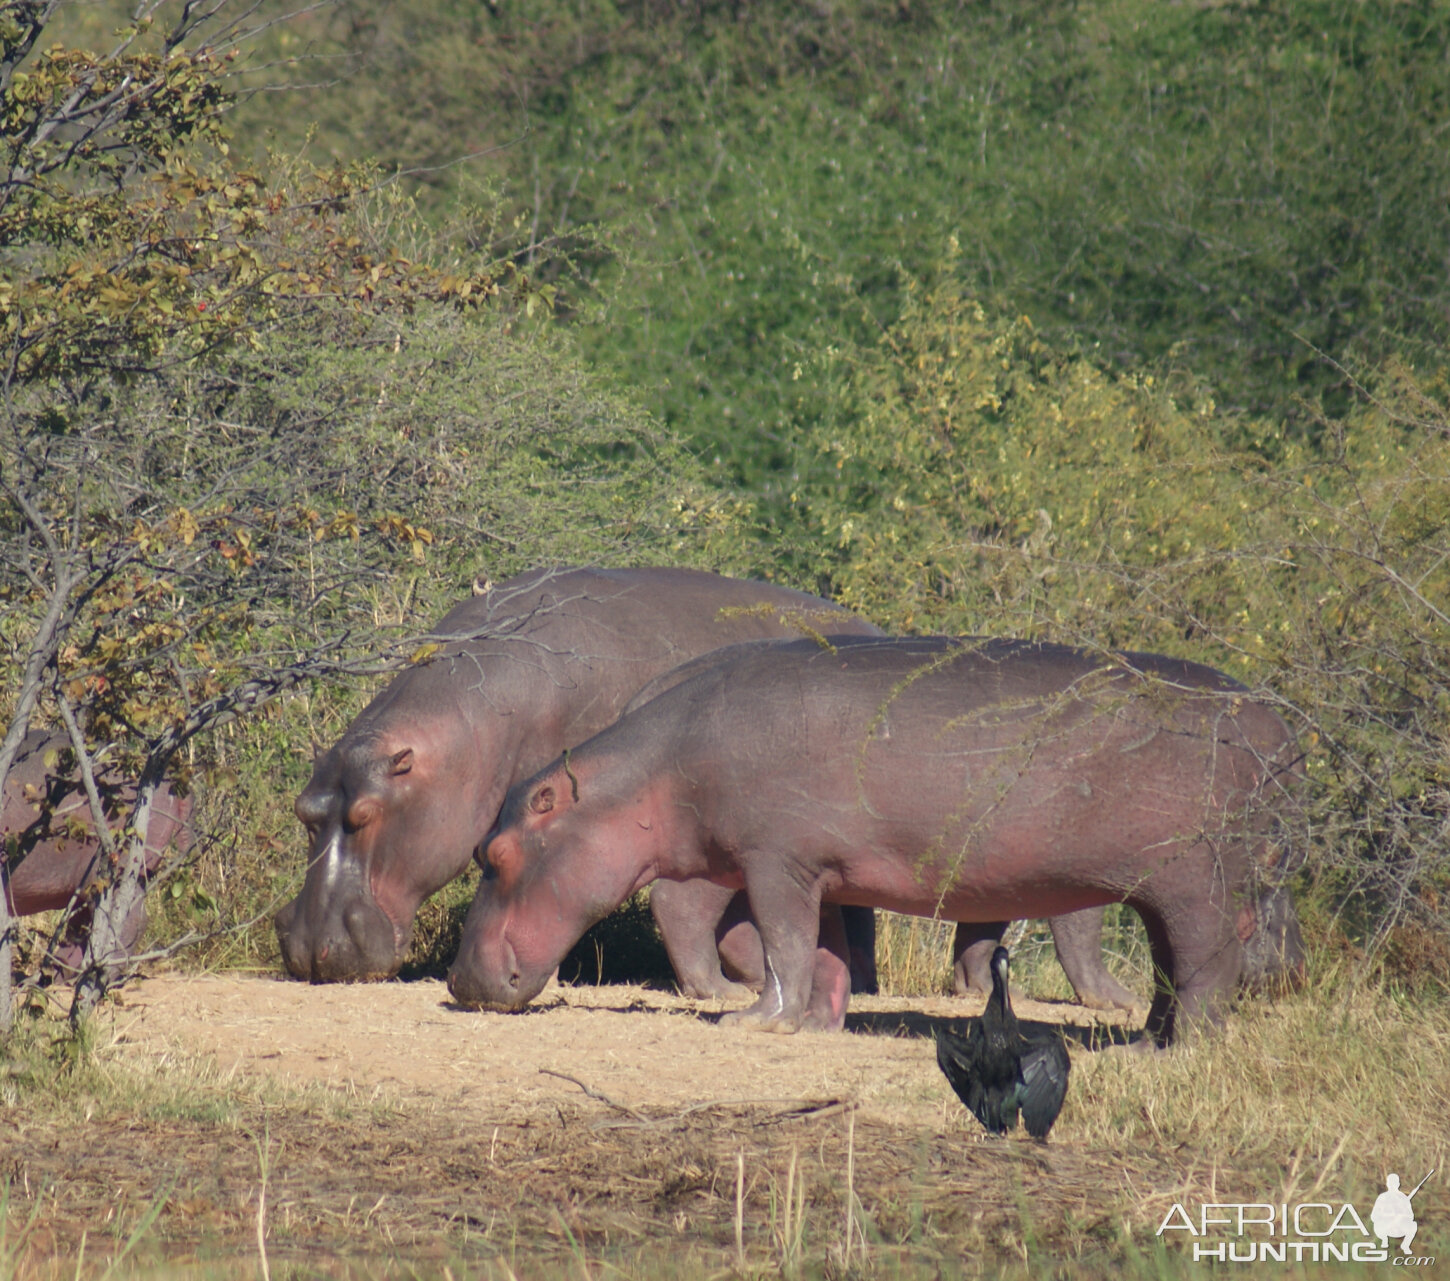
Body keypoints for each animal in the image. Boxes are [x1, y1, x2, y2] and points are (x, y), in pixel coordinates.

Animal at [449, 635, 1305, 1044]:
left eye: (496, 853)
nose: (457, 978)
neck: (648, 774)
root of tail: (1280, 722)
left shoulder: (775, 861)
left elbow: (783, 945)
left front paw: (751, 1021)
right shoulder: (821, 868)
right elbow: (824, 952)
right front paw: (818, 1026)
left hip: (1198, 881)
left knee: (1205, 964)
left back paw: (1181, 1047)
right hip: (1163, 889)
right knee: (1171, 968)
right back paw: (1146, 1041)